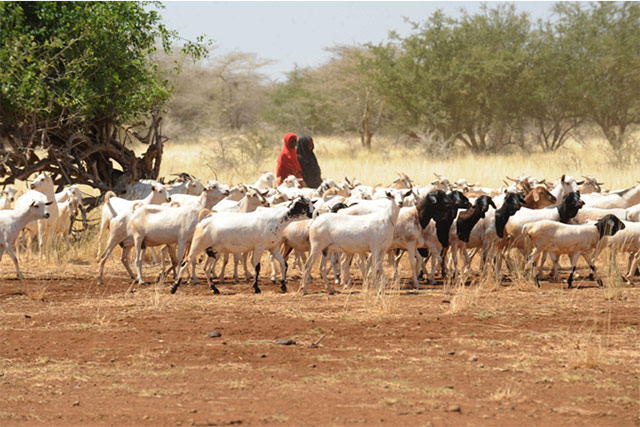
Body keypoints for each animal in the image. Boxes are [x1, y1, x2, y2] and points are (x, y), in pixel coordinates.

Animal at [171, 196, 315, 295]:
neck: (277, 219)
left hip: (213, 250)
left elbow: (284, 264)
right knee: (184, 263)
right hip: (197, 246)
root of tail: (205, 218)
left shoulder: (272, 248)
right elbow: (257, 266)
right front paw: (256, 288)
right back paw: (174, 288)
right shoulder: (259, 247)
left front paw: (283, 286)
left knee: (206, 268)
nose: (314, 215)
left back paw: (214, 289)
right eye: (306, 205)